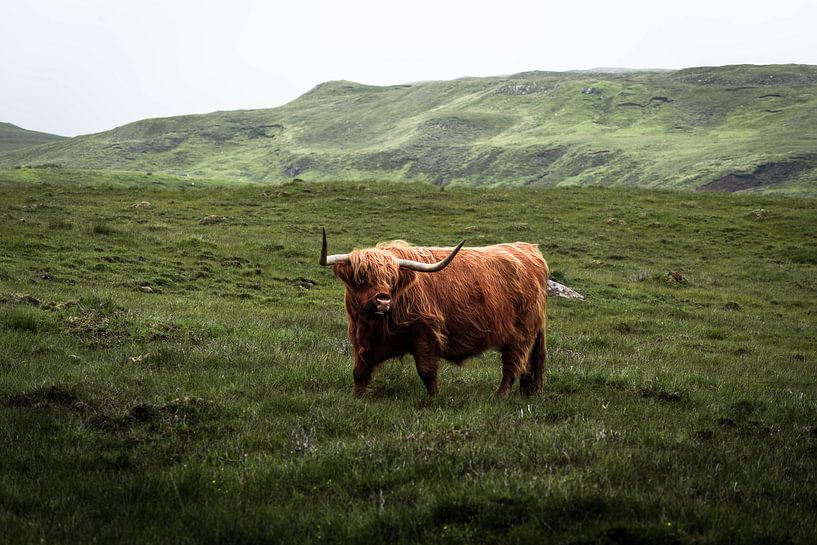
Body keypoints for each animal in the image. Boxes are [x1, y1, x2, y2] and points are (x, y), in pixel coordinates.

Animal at [318, 227, 548, 398]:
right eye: (361, 278)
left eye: (391, 278)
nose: (383, 301)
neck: (376, 326)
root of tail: (528, 249)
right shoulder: (362, 339)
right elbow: (359, 372)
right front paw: (358, 397)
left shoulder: (425, 332)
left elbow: (427, 371)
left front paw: (434, 399)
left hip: (521, 334)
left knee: (512, 366)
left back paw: (499, 396)